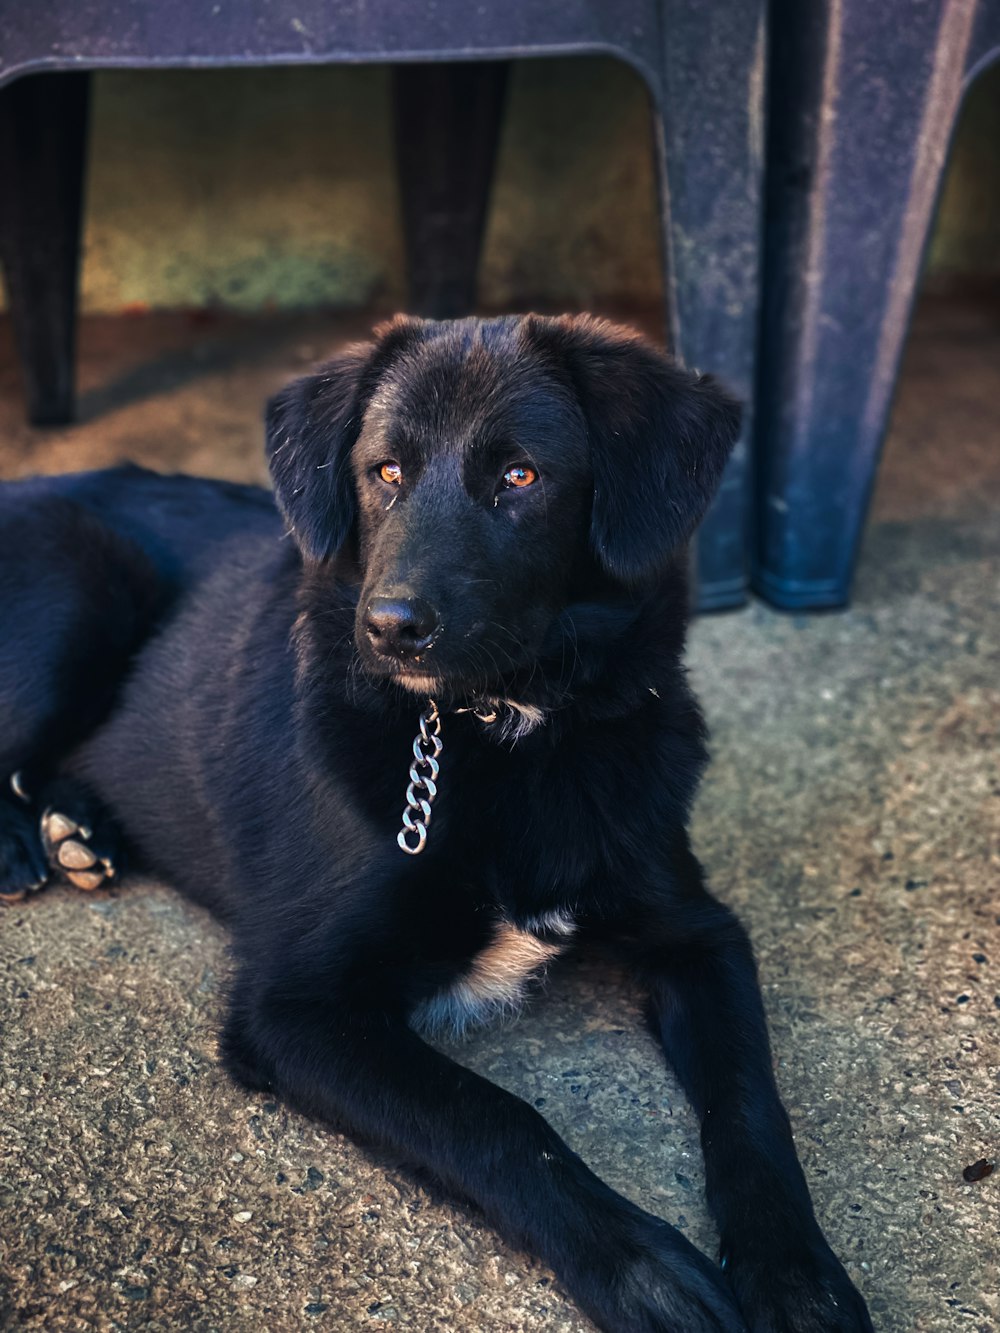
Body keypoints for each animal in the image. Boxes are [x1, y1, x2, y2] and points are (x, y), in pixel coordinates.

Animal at [0, 317, 874, 1327]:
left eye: (521, 476)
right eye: (385, 470)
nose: (389, 627)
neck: (507, 729)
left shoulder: (699, 932)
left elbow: (751, 1105)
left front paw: (797, 1275)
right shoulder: (295, 1006)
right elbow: (496, 1116)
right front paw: (646, 1268)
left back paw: (77, 828)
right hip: (85, 581)